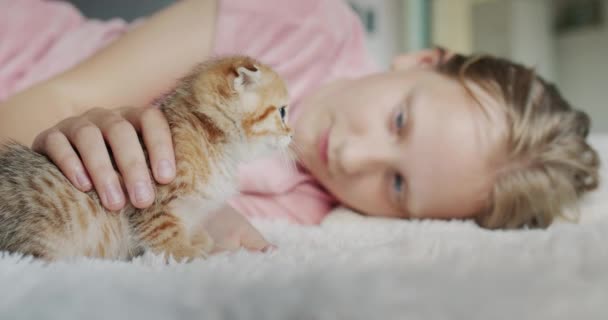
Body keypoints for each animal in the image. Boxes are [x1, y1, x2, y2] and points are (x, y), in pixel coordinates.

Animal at [0, 56, 292, 262]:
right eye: (282, 112)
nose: (291, 134)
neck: (212, 139)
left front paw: (202, 241)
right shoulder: (151, 200)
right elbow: (164, 233)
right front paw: (189, 253)